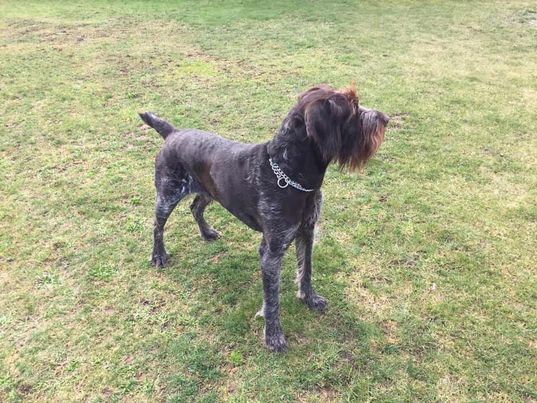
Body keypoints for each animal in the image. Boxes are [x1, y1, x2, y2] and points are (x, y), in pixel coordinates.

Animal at [140, 85, 388, 354]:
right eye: (352, 108)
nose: (385, 118)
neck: (289, 172)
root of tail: (173, 132)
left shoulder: (307, 233)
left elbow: (306, 271)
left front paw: (309, 298)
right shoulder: (271, 251)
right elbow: (272, 299)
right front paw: (273, 335)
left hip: (209, 191)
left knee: (195, 208)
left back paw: (206, 232)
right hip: (168, 194)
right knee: (157, 225)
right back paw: (158, 255)